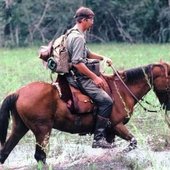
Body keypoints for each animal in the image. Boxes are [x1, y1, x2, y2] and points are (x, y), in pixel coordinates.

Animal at [0, 61, 169, 163]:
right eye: (169, 79)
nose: (167, 106)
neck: (122, 90)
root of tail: (18, 92)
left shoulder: (110, 132)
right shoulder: (116, 125)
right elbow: (133, 142)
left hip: (20, 127)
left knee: (5, 152)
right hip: (43, 130)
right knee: (40, 156)